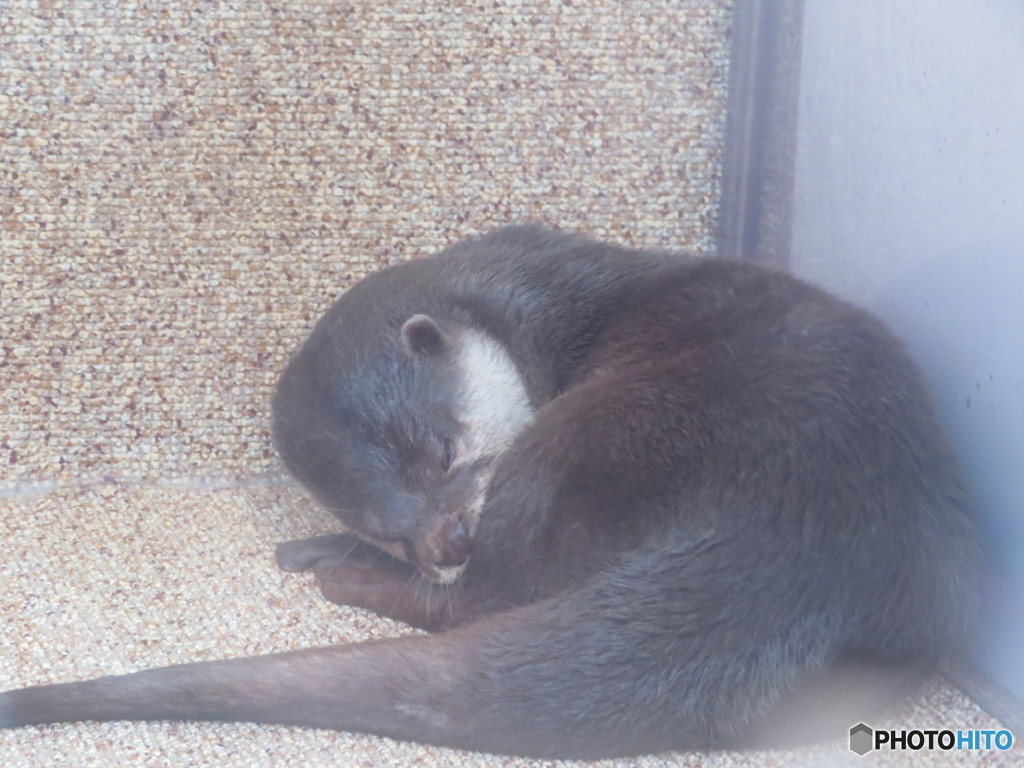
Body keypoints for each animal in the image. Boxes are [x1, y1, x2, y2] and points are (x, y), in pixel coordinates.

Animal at [0, 225, 978, 761]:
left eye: (441, 450)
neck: (546, 306)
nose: (442, 542)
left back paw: (335, 576)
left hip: (579, 443)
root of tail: (796, 548)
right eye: (381, 522)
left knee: (480, 604)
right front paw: (338, 544)